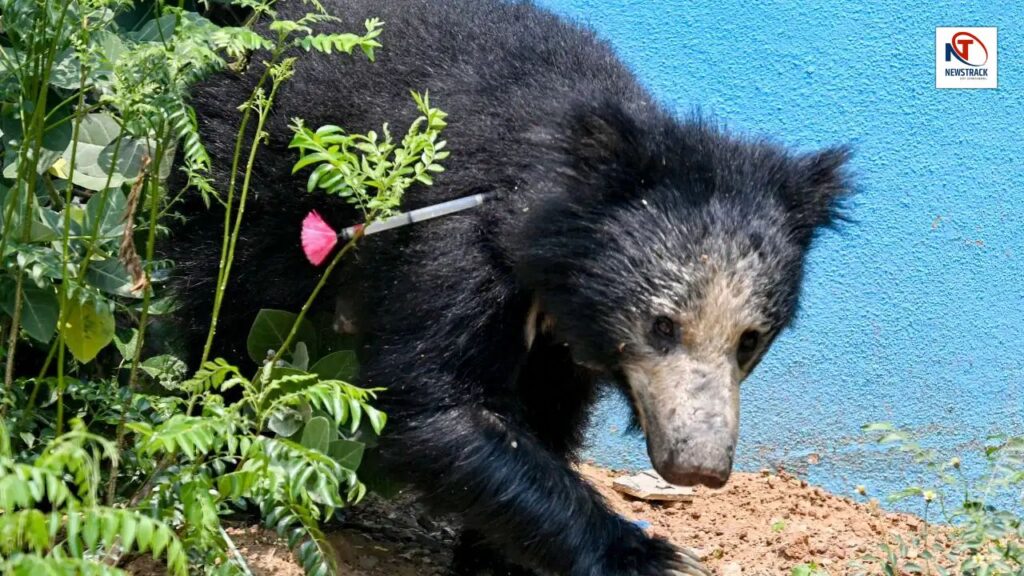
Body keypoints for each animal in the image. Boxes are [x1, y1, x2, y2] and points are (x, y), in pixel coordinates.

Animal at [167, 0, 853, 574]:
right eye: (662, 326)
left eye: (749, 342)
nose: (698, 468)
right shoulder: (459, 242)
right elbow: (442, 406)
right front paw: (649, 557)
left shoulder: (565, 332)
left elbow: (543, 417)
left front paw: (491, 558)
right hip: (250, 176)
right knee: (228, 302)